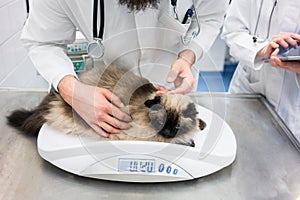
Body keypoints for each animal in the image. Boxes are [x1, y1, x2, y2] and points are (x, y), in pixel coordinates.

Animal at [6, 62, 206, 147]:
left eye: (176, 126)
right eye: (161, 124)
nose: (168, 132)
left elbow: (199, 124)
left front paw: (198, 129)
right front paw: (188, 142)